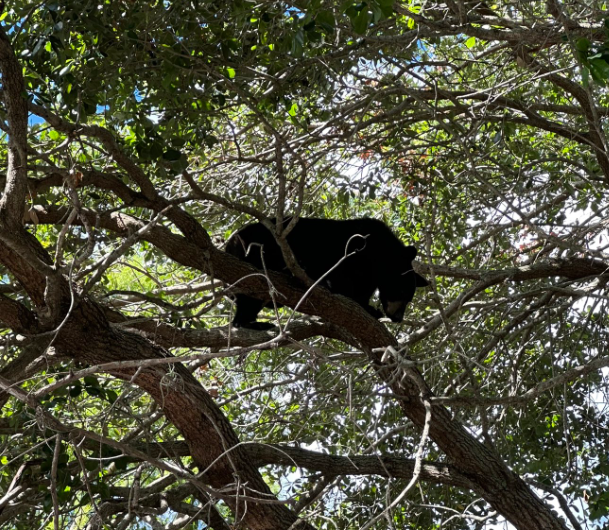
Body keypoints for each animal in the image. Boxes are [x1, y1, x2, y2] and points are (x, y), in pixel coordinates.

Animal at [223, 217, 428, 328]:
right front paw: (366, 307)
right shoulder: (354, 250)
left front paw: (368, 307)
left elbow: (363, 288)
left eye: (409, 298)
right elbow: (344, 279)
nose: (398, 318)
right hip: (256, 250)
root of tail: (229, 243)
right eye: (401, 292)